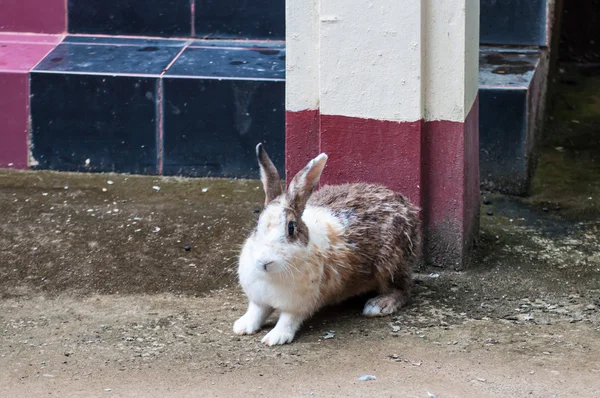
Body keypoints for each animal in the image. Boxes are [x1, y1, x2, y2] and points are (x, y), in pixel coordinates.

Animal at [232, 144, 420, 346]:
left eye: (291, 228)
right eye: (257, 224)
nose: (265, 262)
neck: (271, 276)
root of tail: (407, 207)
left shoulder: (298, 305)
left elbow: (288, 320)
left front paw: (275, 337)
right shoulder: (259, 300)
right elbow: (256, 312)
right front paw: (241, 326)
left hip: (390, 265)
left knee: (403, 288)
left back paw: (379, 305)